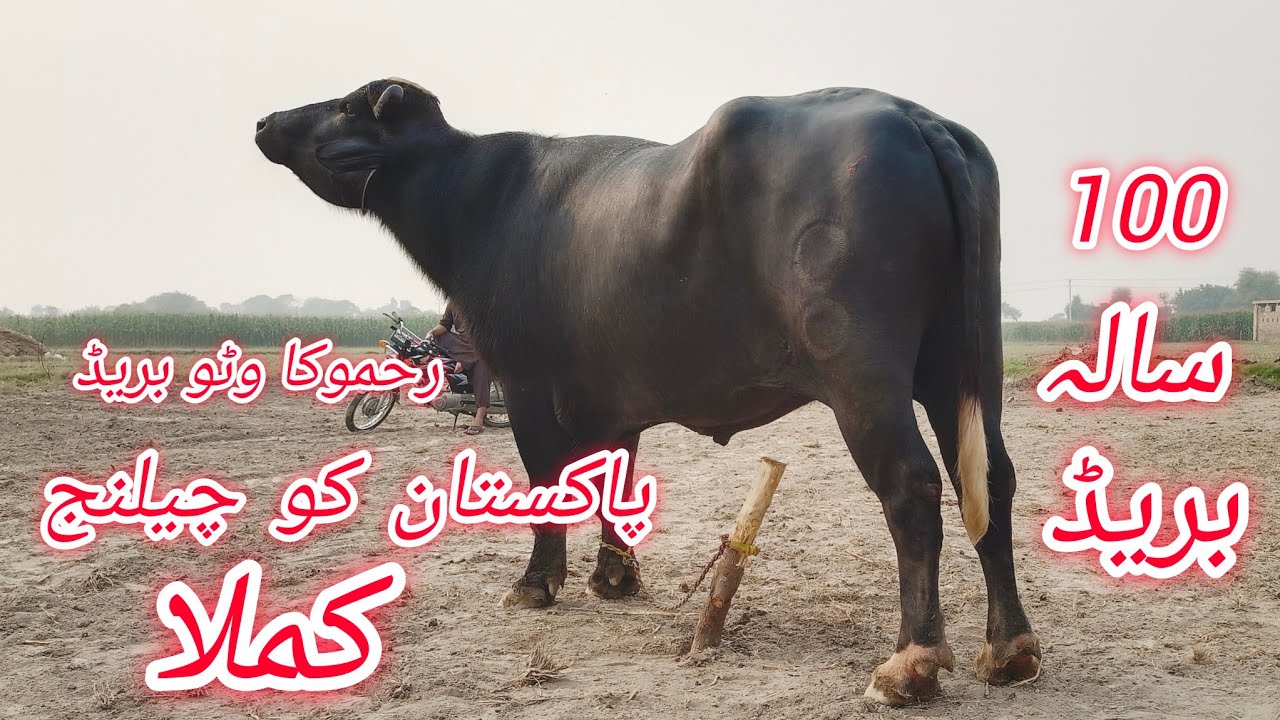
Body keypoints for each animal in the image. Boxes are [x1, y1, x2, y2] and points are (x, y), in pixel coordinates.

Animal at [255, 78, 1041, 704]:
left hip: (862, 376)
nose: (266, 121)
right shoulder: (616, 402)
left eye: (348, 104)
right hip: (963, 367)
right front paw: (614, 576)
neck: (480, 199)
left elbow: (547, 487)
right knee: (992, 481)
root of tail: (914, 117)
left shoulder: (527, 384)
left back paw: (910, 663)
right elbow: (615, 482)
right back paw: (1009, 648)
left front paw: (537, 584)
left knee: (912, 485)